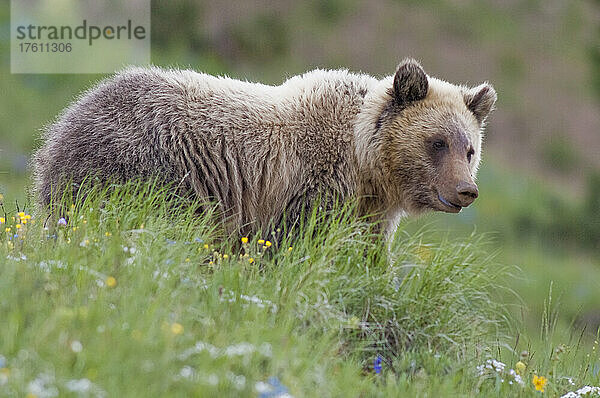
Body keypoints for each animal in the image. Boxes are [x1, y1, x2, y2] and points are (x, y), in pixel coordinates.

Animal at [35, 57, 500, 235]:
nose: (466, 190)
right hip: (147, 169)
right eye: (437, 142)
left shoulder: (371, 212)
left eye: (469, 149)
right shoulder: (313, 189)